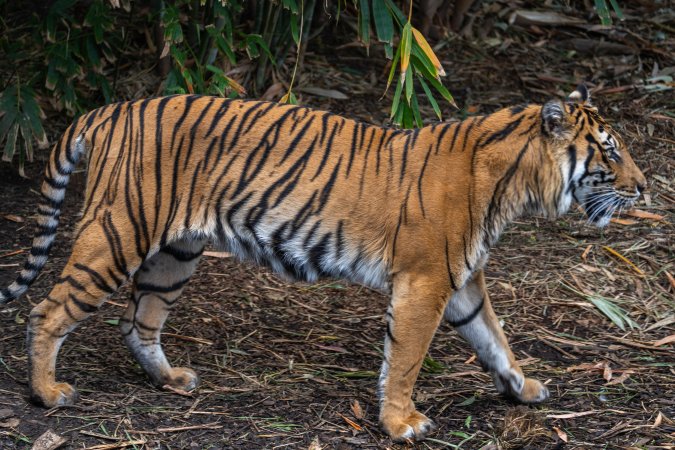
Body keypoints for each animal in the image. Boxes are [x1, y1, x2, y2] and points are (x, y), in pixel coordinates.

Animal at [0, 84, 645, 441]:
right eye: (611, 152)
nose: (644, 187)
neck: (515, 186)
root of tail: (109, 110)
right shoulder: (425, 282)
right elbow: (406, 359)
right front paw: (401, 423)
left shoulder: (461, 284)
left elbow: (494, 339)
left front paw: (523, 387)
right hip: (116, 235)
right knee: (47, 311)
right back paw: (48, 393)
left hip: (175, 254)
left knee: (140, 323)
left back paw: (172, 380)